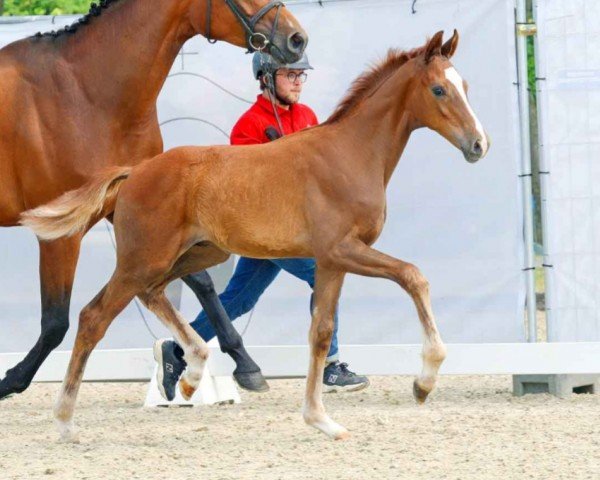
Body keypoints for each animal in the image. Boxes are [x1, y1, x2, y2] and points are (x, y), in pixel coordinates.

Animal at [0, 0, 310, 400]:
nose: (297, 39)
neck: (87, 93)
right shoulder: (61, 234)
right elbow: (55, 321)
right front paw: (11, 380)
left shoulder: (137, 206)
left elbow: (203, 282)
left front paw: (244, 363)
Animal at [24, 31, 492, 442]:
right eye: (438, 90)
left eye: (465, 86)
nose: (478, 145)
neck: (351, 154)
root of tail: (134, 172)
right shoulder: (342, 250)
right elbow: (413, 276)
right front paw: (423, 383)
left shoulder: (331, 261)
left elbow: (321, 332)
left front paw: (321, 421)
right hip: (144, 257)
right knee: (93, 316)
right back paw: (66, 422)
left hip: (195, 255)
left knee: (153, 294)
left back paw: (192, 373)